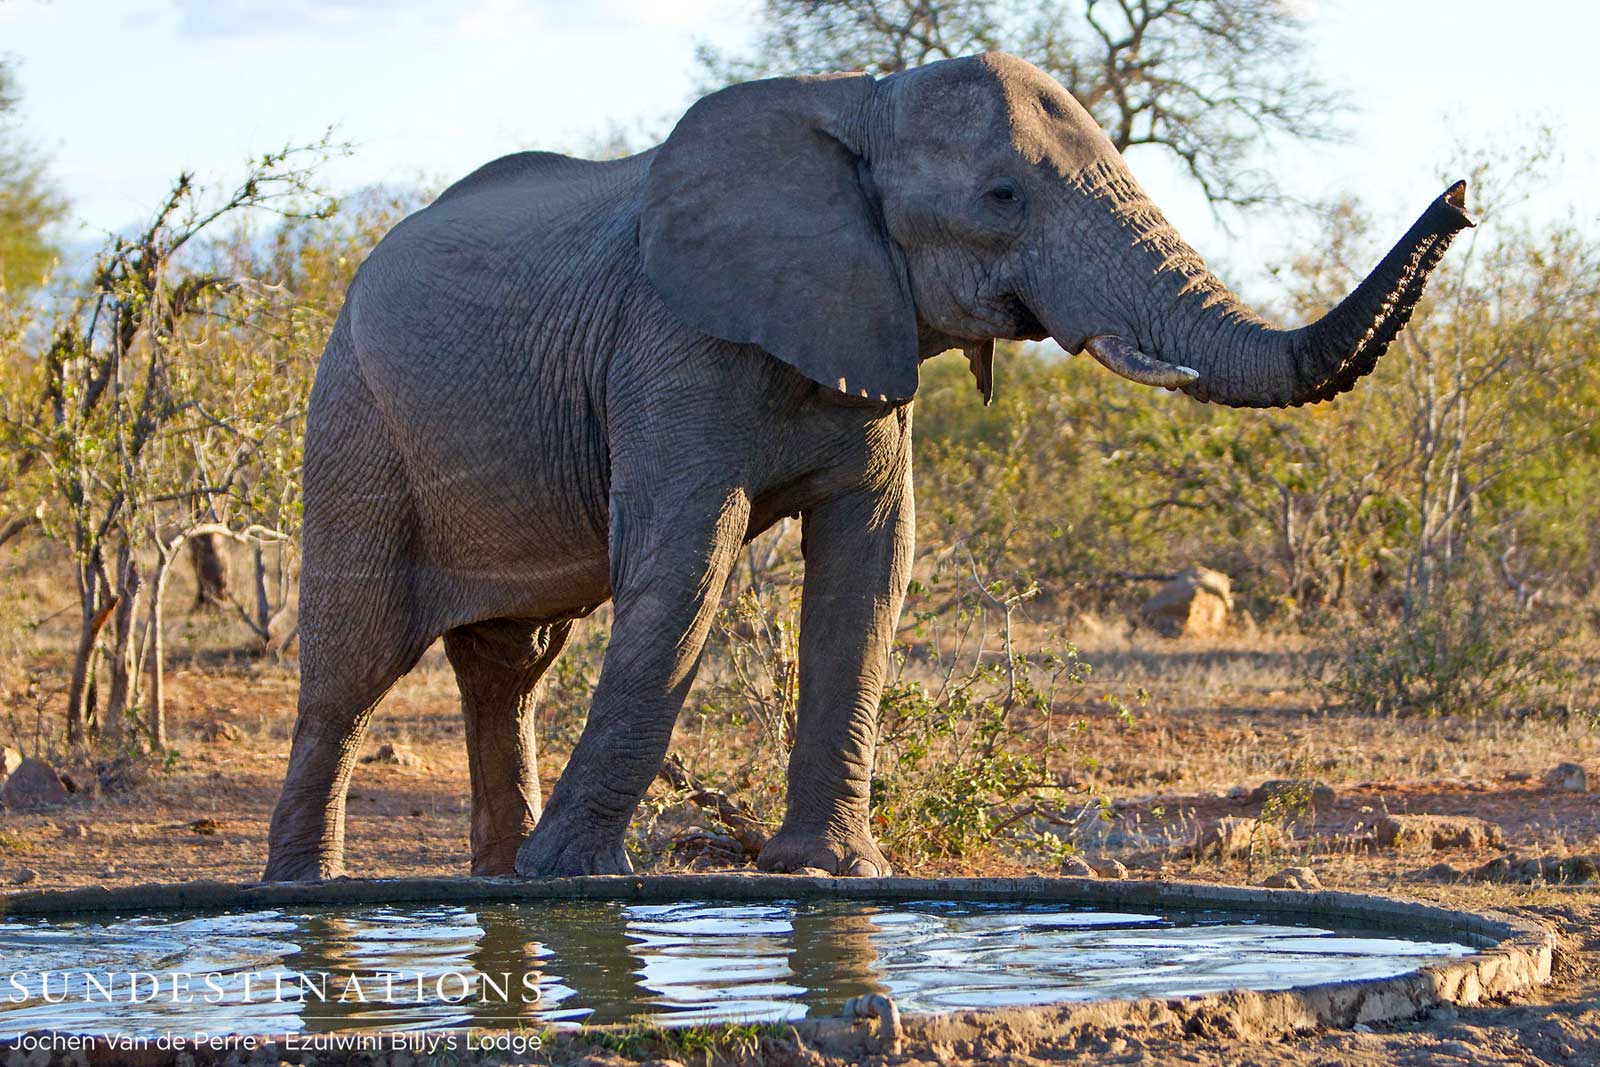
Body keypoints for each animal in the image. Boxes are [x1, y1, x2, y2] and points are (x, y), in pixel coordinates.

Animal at [265, 51, 1472, 883]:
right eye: (1002, 197)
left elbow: (870, 566)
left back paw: (499, 881)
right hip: (354, 421)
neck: (859, 103)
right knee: (352, 670)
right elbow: (685, 568)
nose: (1463, 195)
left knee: (508, 665)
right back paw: (310, 900)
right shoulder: (671, 343)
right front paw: (588, 883)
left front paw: (830, 873)